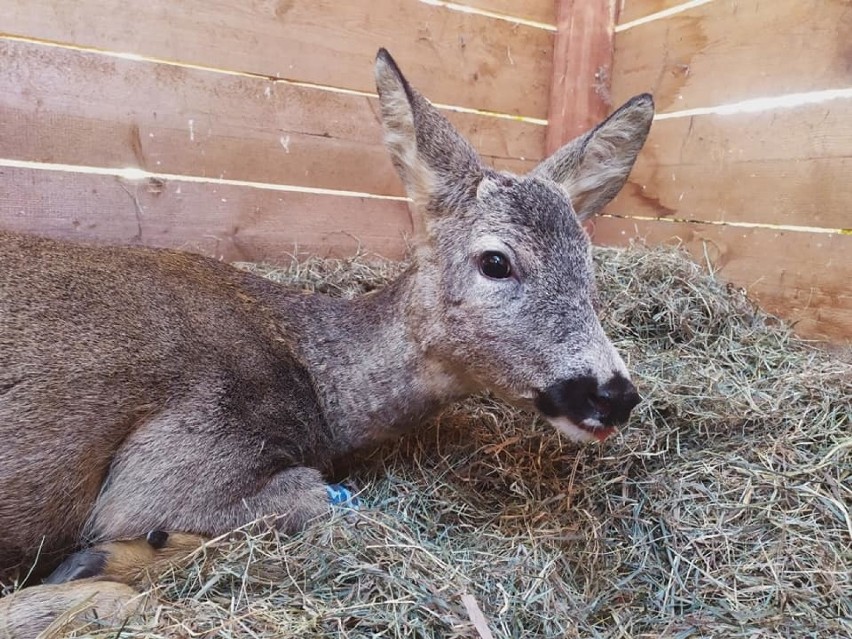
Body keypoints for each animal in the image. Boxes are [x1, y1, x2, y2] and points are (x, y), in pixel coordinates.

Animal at [0, 47, 652, 632]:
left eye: (590, 268)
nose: (614, 393)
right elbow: (313, 499)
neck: (314, 375)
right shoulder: (168, 469)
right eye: (496, 261)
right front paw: (103, 562)